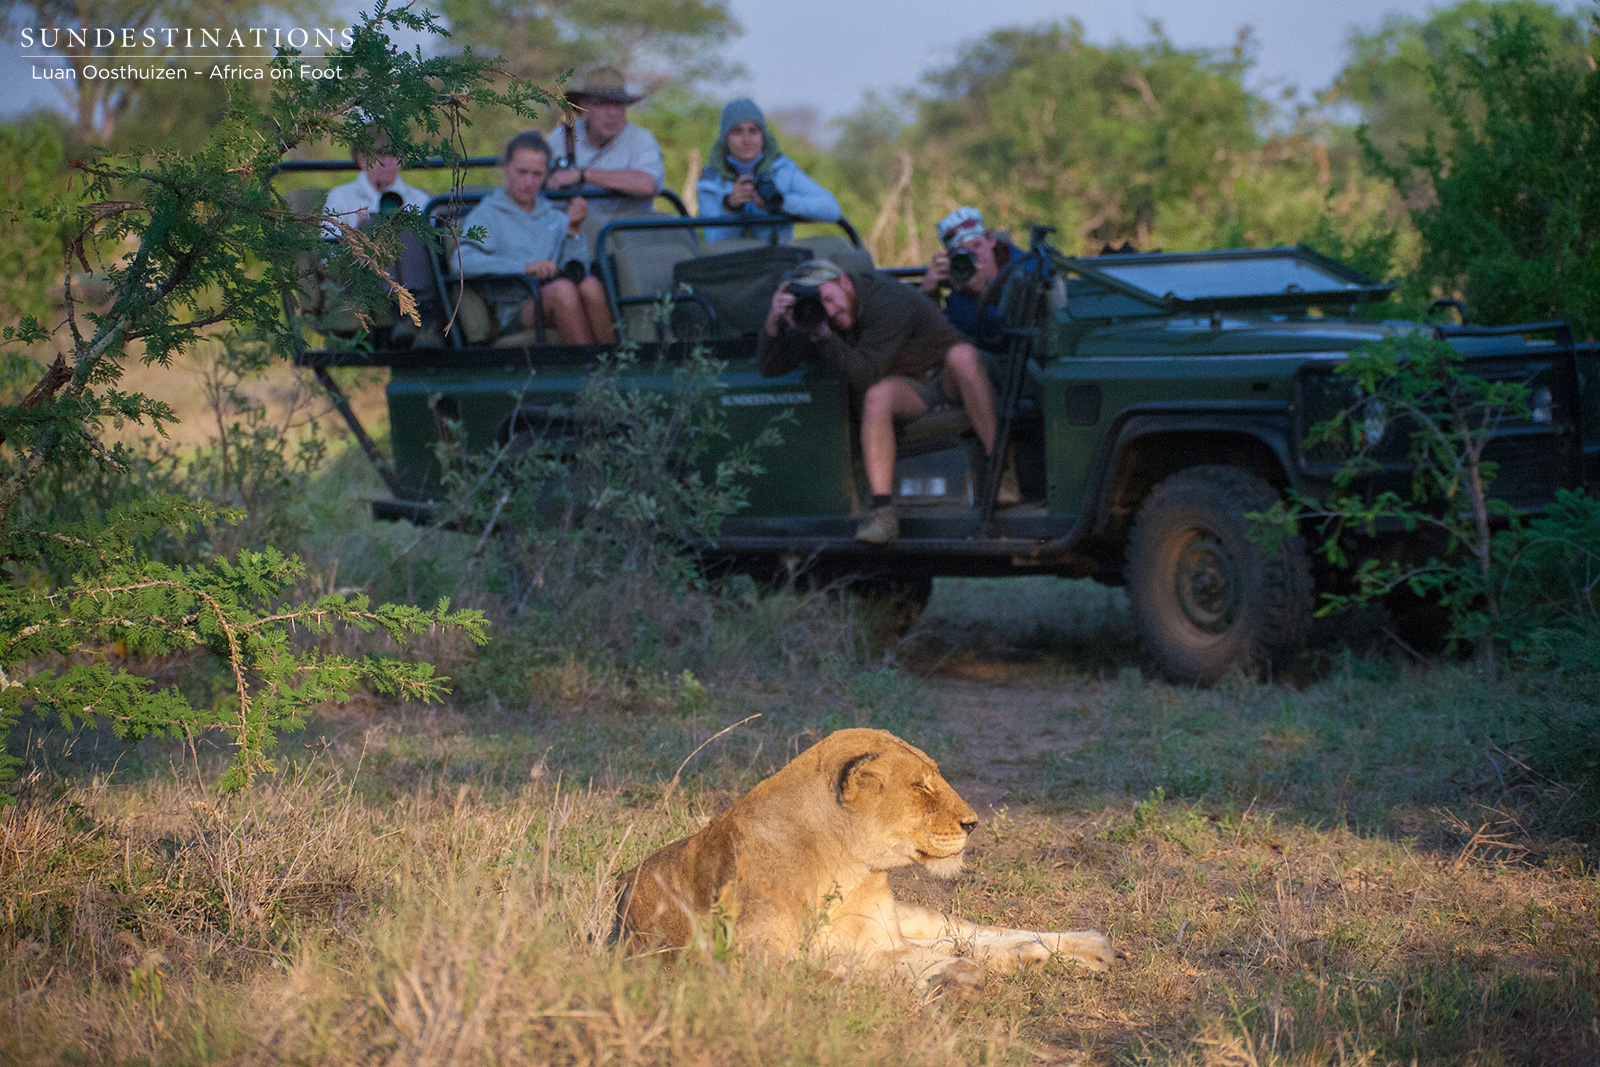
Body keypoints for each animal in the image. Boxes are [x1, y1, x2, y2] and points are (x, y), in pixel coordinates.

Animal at [615, 727, 1114, 990]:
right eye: (921, 786)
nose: (973, 823)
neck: (846, 867)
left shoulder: (877, 936)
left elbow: (895, 957)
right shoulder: (754, 962)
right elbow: (858, 965)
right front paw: (959, 975)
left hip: (915, 917)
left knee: (973, 932)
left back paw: (1088, 946)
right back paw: (1032, 958)